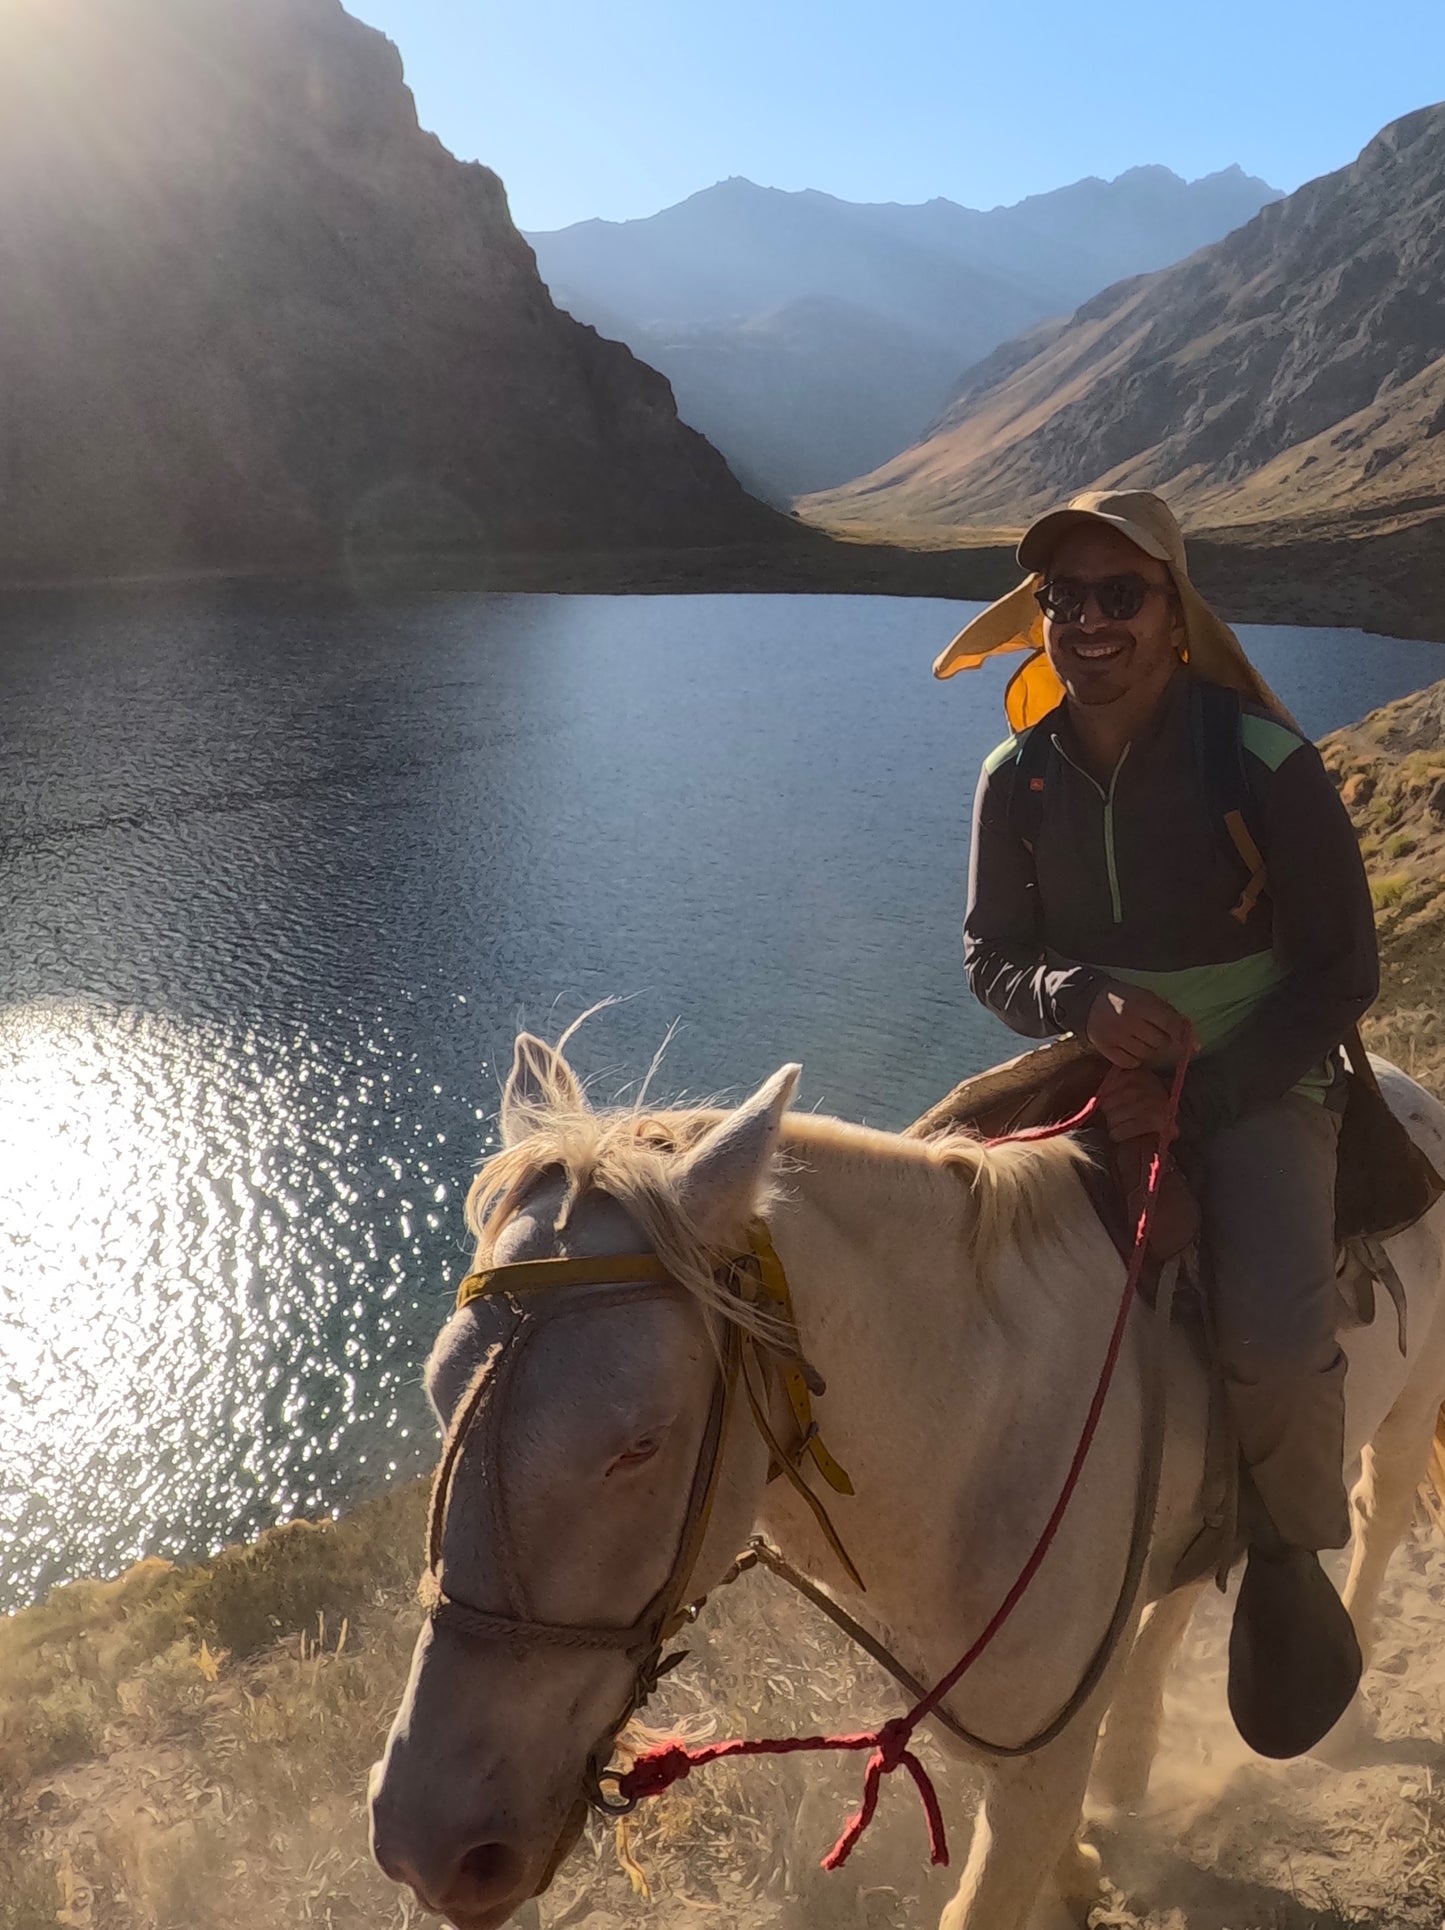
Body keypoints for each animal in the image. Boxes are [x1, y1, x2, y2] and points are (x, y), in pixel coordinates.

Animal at [366, 1042, 1443, 1930]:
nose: (427, 1842)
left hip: (1396, 1420)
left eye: (639, 1442)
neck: (971, 1424)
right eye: (436, 1391)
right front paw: (1082, 1865)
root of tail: (1403, 1080)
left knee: (1373, 1519)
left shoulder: (1037, 1756)